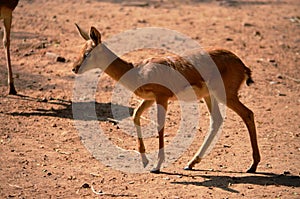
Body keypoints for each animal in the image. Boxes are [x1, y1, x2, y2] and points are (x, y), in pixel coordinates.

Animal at [72, 24, 260, 174]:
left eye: (87, 53)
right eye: (80, 51)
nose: (74, 68)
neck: (138, 71)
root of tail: (241, 63)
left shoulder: (162, 98)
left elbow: (160, 127)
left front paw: (157, 166)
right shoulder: (150, 99)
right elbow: (136, 116)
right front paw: (145, 160)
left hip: (225, 95)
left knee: (248, 114)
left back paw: (253, 166)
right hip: (210, 96)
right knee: (217, 120)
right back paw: (191, 163)